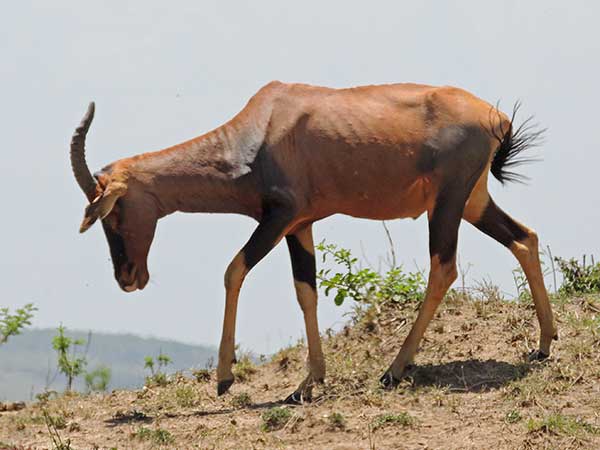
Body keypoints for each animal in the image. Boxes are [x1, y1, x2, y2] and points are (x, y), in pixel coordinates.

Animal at [70, 81, 556, 404]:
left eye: (112, 211)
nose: (129, 278)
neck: (265, 124)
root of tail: (497, 117)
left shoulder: (278, 218)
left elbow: (233, 270)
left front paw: (225, 379)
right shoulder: (298, 227)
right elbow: (306, 291)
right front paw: (307, 383)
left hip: (448, 203)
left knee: (444, 267)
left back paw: (394, 371)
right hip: (473, 201)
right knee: (524, 238)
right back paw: (544, 344)